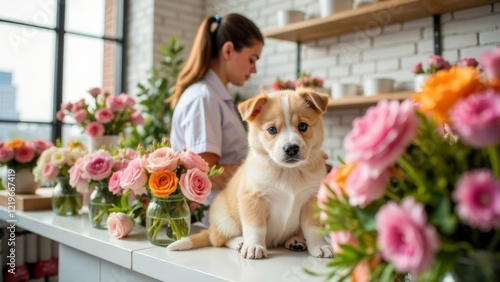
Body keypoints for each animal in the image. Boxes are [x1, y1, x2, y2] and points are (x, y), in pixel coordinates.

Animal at [166, 87, 334, 258]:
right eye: (272, 130)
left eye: (303, 126)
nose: (291, 148)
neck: (288, 172)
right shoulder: (253, 198)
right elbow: (256, 227)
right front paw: (254, 246)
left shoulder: (311, 199)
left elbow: (313, 229)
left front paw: (320, 245)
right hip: (225, 220)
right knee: (219, 239)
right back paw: (240, 242)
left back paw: (296, 241)